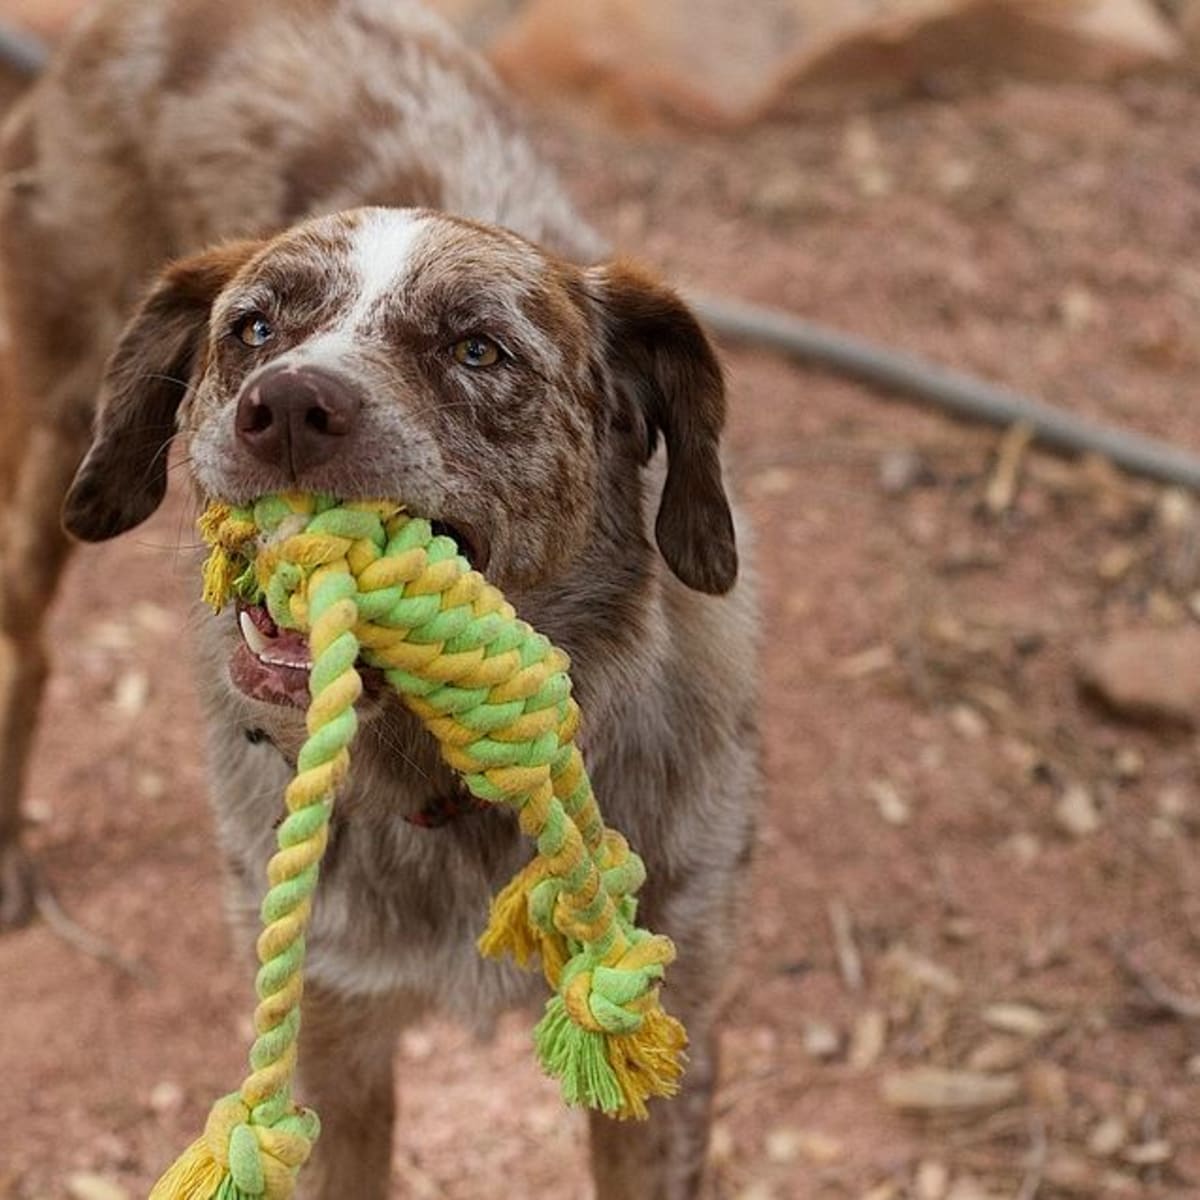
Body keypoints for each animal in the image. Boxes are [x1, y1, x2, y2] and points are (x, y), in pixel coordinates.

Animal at [0, 4, 758, 1195]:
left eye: (478, 349)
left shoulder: (672, 1037)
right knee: (22, 644)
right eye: (254, 329)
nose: (283, 409)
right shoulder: (330, 1040)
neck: (449, 787)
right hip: (47, 432)